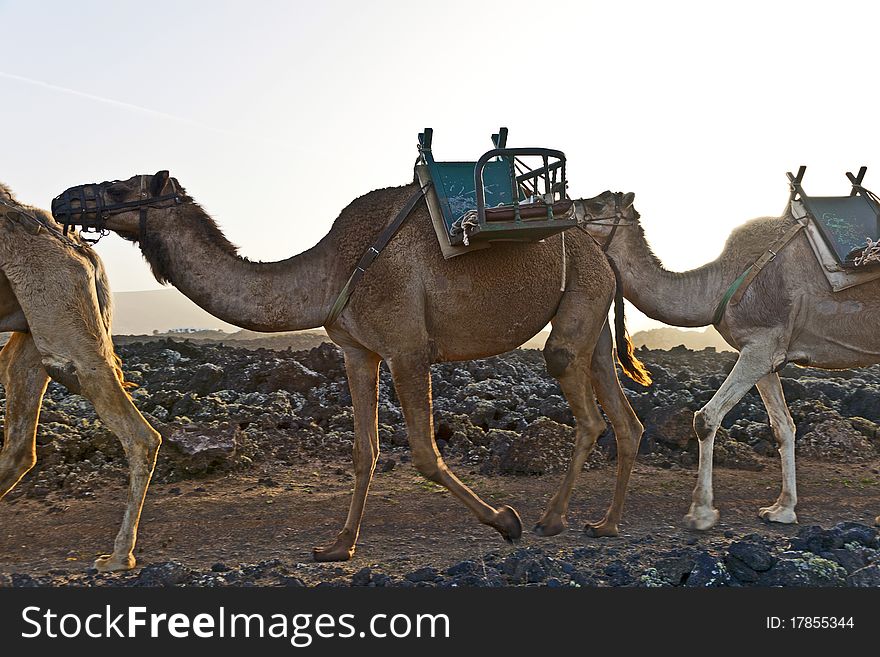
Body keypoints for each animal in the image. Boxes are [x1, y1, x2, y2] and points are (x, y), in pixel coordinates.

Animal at [0, 182, 162, 572]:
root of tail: (81, 249)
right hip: (35, 324)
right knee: (20, 444)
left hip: (61, 326)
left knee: (140, 435)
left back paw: (119, 556)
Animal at [51, 169, 648, 560]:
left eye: (121, 186)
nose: (63, 200)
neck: (331, 269)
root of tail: (601, 252)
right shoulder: (357, 350)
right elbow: (364, 450)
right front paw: (338, 545)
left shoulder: (407, 347)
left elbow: (425, 454)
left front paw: (506, 521)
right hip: (591, 316)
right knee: (624, 417)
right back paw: (605, 524)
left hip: (578, 307)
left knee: (585, 406)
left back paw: (551, 519)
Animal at [576, 190, 880, 532]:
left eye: (598, 203)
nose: (566, 209)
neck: (721, 282)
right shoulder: (764, 354)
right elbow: (783, 426)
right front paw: (782, 509)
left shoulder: (761, 344)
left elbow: (705, 418)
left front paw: (700, 512)